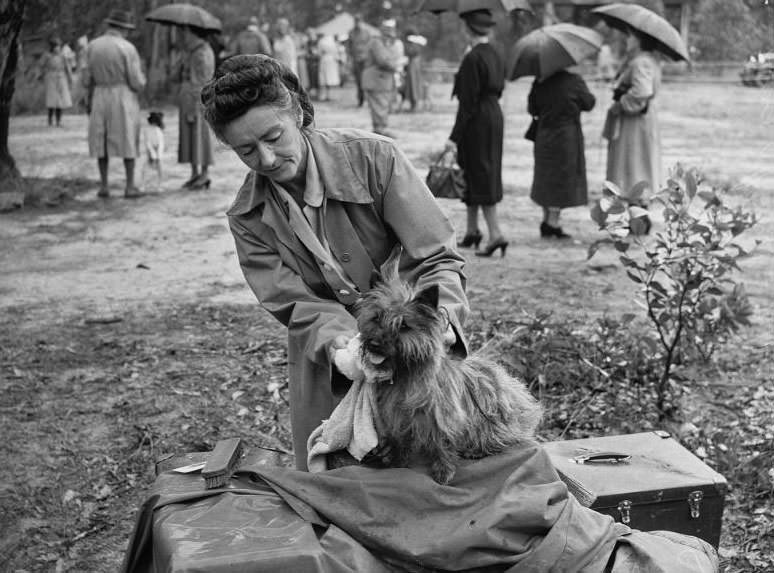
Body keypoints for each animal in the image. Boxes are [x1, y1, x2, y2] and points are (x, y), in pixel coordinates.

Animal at [354, 280, 544, 482]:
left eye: (404, 325)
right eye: (376, 318)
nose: (374, 344)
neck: (407, 374)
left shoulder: (443, 417)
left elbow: (442, 444)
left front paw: (444, 471)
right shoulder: (399, 418)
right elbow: (402, 441)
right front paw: (399, 463)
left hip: (494, 418)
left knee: (502, 438)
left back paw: (477, 450)